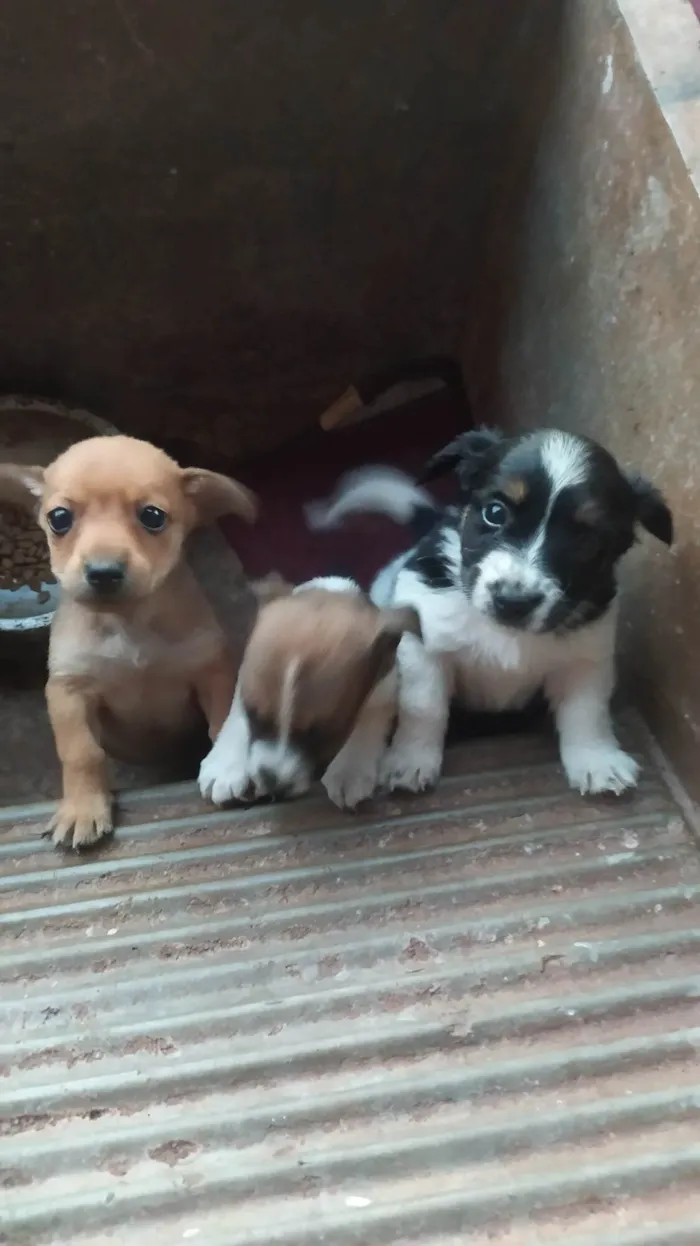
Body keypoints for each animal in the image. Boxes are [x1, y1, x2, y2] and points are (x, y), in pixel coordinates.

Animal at [1, 433, 257, 852]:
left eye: (153, 516)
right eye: (59, 518)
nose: (103, 572)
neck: (129, 623)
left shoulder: (211, 671)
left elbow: (221, 723)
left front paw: (227, 767)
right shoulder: (68, 691)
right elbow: (82, 753)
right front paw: (83, 808)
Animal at [199, 575, 418, 812]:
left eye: (323, 734)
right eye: (254, 716)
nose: (274, 787)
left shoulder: (385, 686)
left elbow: (369, 718)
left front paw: (350, 770)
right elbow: (237, 713)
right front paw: (225, 764)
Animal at [305, 428, 672, 797]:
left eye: (585, 537)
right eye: (495, 512)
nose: (513, 602)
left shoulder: (585, 658)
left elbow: (587, 711)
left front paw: (597, 761)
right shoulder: (424, 647)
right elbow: (424, 707)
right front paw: (410, 760)